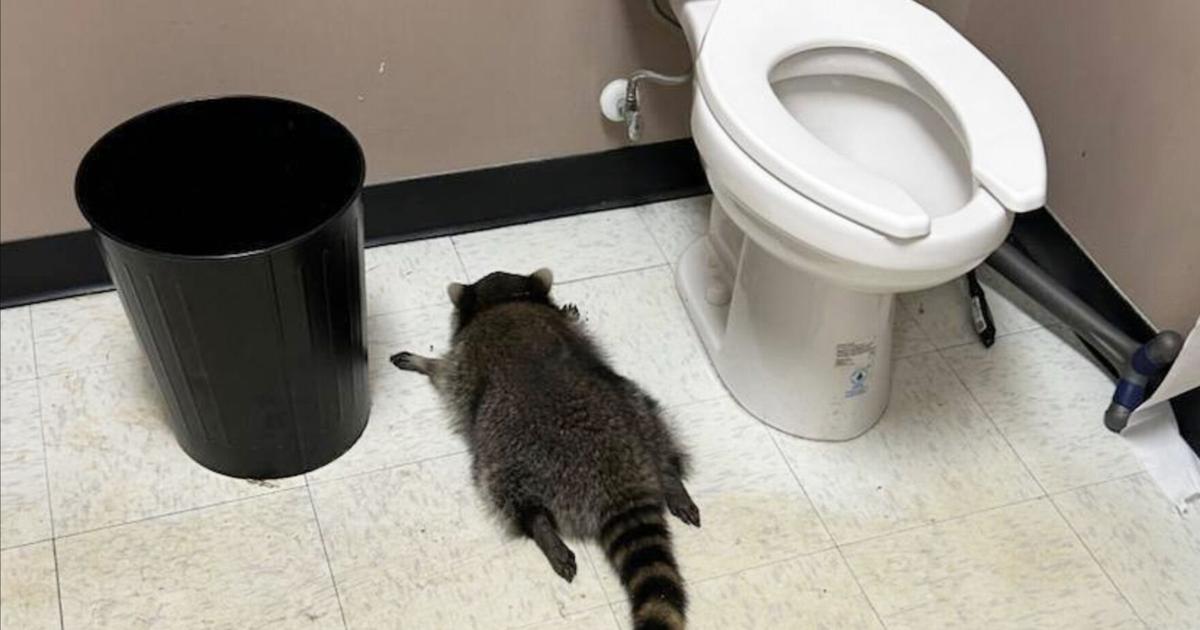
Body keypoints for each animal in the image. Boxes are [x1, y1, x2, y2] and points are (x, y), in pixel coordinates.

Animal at [390, 268, 700, 630]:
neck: (505, 300)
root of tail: (618, 478)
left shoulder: (464, 360)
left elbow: (445, 373)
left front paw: (425, 362)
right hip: (636, 407)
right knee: (657, 429)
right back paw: (670, 478)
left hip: (509, 452)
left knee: (503, 489)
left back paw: (540, 527)